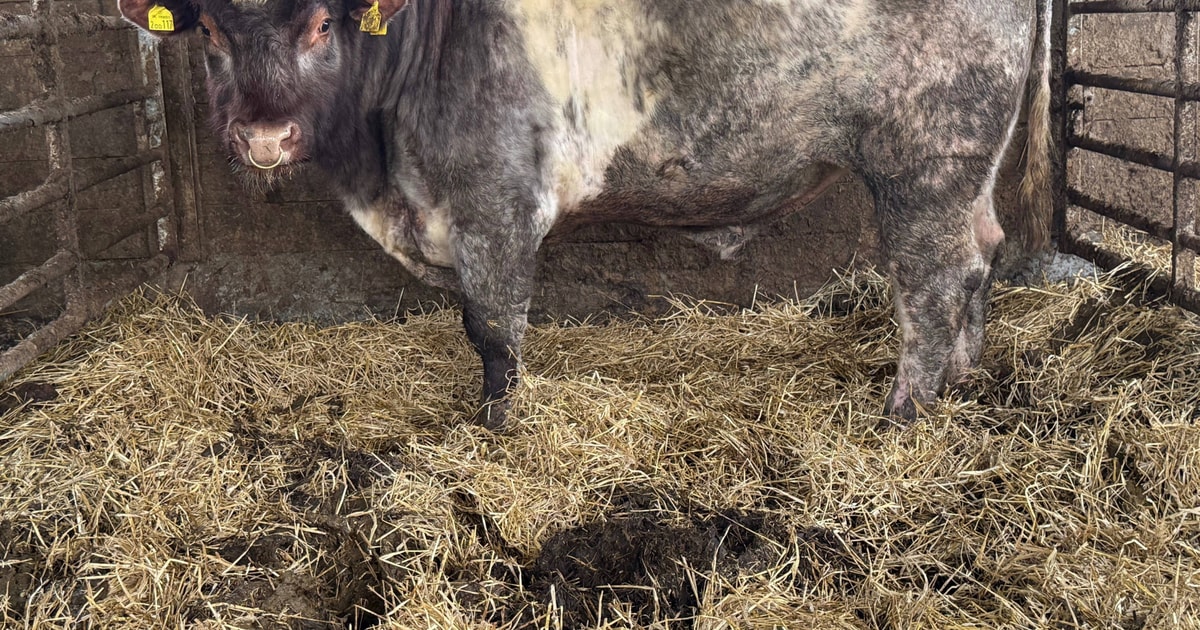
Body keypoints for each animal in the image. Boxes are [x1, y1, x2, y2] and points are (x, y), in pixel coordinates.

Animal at [119, 0, 1053, 429]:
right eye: (209, 32)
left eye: (320, 22)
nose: (264, 136)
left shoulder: (495, 206)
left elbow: (495, 331)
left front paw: (496, 428)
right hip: (962, 178)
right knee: (980, 256)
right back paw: (962, 379)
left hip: (923, 163)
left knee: (930, 286)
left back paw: (903, 412)